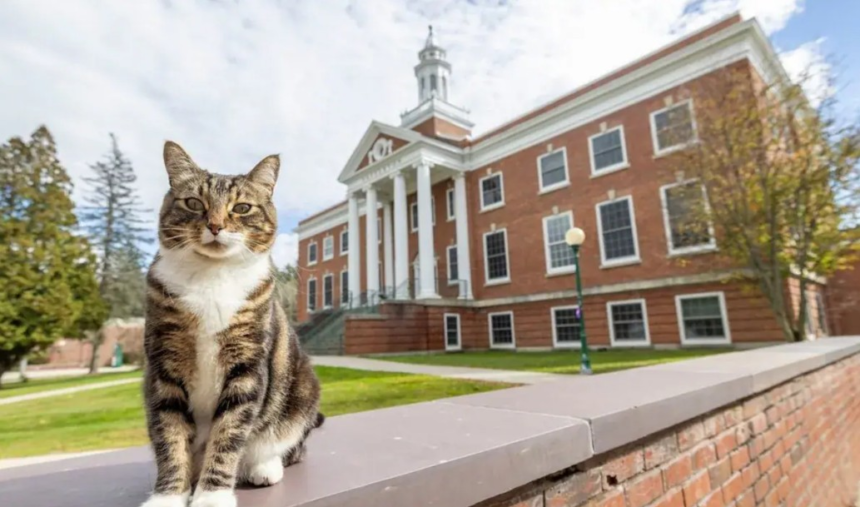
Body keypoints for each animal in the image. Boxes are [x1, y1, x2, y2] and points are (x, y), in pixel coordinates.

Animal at [141, 141, 322, 507]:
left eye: (242, 208)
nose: (215, 226)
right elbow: (170, 437)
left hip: (302, 390)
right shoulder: (163, 368)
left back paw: (264, 466)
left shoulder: (247, 366)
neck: (212, 277)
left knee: (290, 445)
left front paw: (212, 495)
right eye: (194, 203)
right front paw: (168, 496)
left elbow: (228, 434)